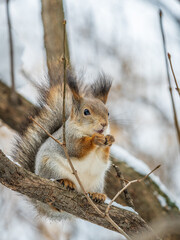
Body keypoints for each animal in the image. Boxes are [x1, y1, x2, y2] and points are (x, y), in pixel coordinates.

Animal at [11, 70, 115, 220]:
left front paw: (110, 139)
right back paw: (65, 182)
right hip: (50, 167)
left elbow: (103, 159)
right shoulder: (68, 140)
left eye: (108, 112)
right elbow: (77, 149)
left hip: (97, 182)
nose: (104, 124)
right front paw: (94, 139)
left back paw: (97, 195)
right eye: (86, 112)